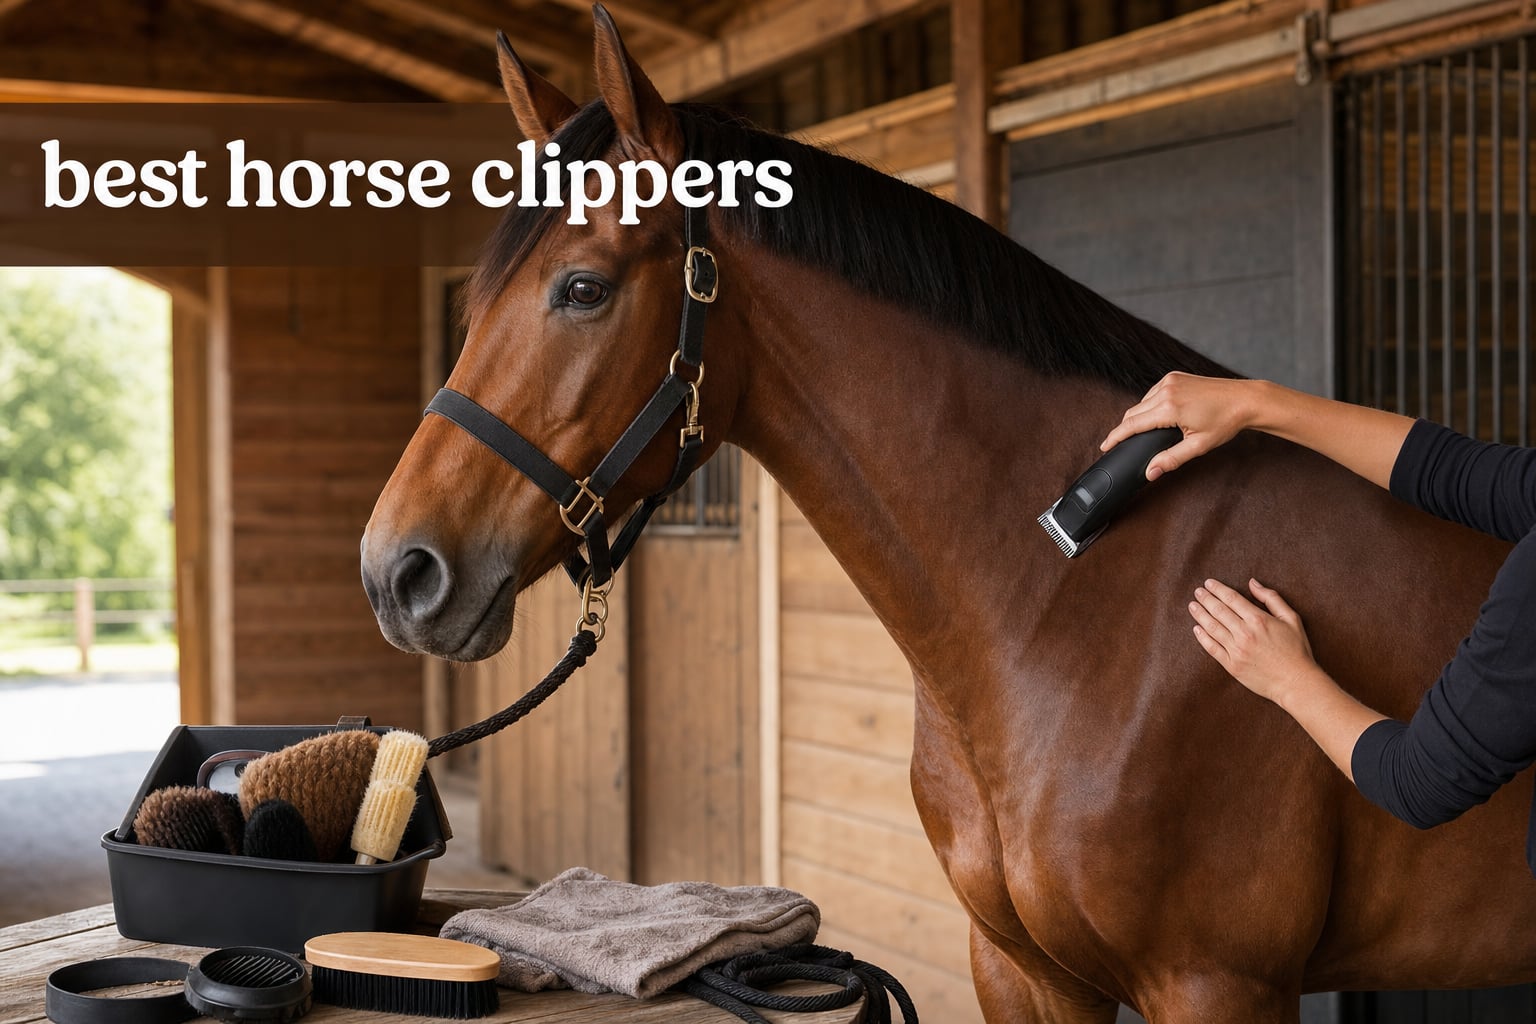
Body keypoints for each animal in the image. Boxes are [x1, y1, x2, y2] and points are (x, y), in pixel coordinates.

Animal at [361, 9, 1536, 1021]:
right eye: (474, 299)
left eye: (584, 288)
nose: (397, 571)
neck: (1084, 590)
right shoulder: (1021, 968)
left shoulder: (1217, 983)